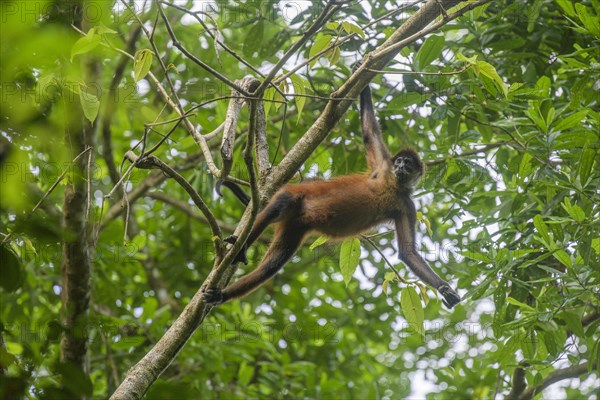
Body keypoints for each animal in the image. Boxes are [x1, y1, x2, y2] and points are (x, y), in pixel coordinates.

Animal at [204, 79, 462, 308]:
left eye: (408, 165)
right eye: (399, 161)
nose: (399, 167)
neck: (392, 186)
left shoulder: (407, 204)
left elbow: (408, 252)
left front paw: (444, 289)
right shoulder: (382, 167)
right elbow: (369, 131)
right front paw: (364, 70)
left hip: (295, 227)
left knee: (272, 266)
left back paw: (221, 295)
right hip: (295, 197)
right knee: (280, 204)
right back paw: (240, 247)